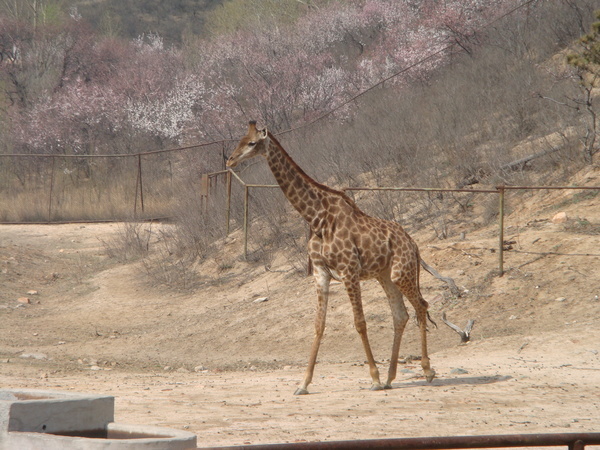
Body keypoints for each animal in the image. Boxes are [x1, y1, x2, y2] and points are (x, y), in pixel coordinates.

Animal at [226, 120, 436, 394]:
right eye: (239, 140)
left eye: (252, 143)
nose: (230, 160)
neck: (317, 218)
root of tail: (413, 243)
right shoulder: (320, 272)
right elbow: (318, 325)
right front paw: (303, 383)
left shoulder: (349, 270)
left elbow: (359, 322)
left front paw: (374, 378)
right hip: (385, 275)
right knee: (401, 315)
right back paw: (391, 378)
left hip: (403, 271)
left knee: (422, 306)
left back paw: (426, 371)